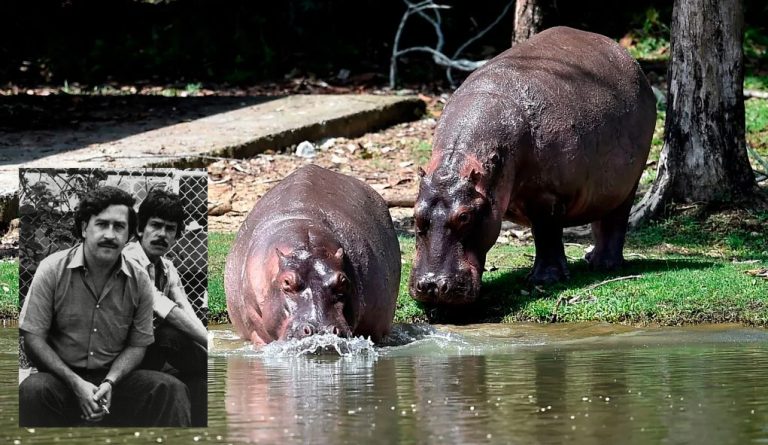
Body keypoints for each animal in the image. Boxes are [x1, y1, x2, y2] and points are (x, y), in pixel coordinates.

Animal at [409, 26, 657, 305]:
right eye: (415, 215)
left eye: (464, 216)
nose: (432, 285)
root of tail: (627, 57)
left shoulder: (547, 195)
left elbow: (546, 233)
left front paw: (545, 280)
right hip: (604, 187)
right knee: (601, 216)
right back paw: (591, 258)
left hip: (630, 180)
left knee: (616, 218)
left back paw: (605, 265)